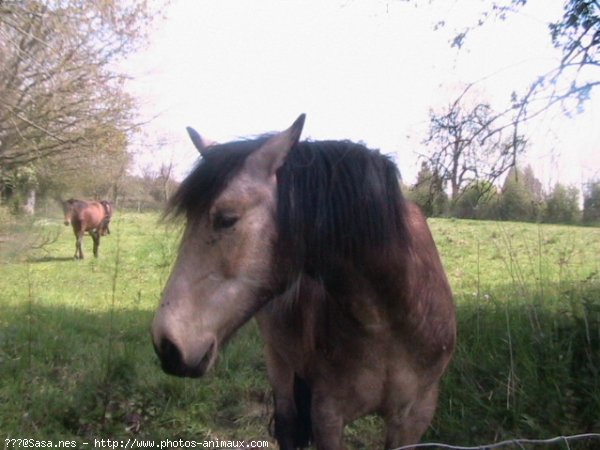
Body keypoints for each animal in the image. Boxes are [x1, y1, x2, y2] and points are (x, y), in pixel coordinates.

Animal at [151, 116, 454, 450]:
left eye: (227, 219)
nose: (167, 345)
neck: (387, 322)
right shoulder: (328, 415)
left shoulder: (414, 417)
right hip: (278, 360)